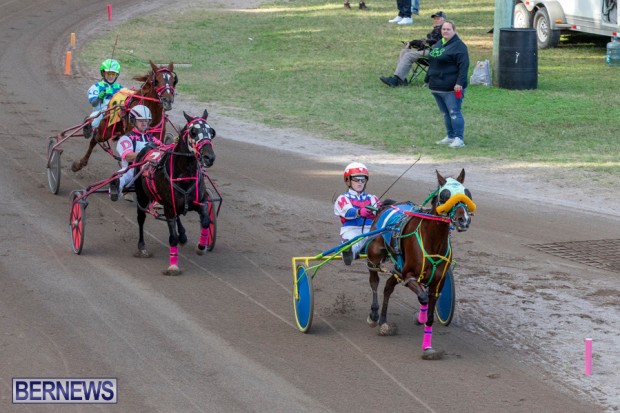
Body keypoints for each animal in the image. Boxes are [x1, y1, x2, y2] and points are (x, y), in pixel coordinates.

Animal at [134, 109, 216, 275]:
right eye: (193, 131)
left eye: (211, 132)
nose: (209, 157)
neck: (184, 174)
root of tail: (147, 147)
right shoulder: (169, 207)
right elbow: (172, 237)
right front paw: (173, 266)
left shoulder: (200, 201)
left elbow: (205, 220)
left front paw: (201, 247)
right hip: (142, 196)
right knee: (141, 218)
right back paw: (142, 247)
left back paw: (183, 235)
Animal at [365, 169, 476, 359]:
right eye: (445, 195)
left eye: (466, 193)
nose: (464, 220)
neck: (433, 241)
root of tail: (387, 206)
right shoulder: (408, 275)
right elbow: (422, 296)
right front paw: (421, 317)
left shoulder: (438, 283)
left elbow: (430, 312)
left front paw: (427, 347)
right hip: (374, 255)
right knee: (374, 281)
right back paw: (374, 315)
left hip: (397, 268)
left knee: (388, 287)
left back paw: (384, 321)